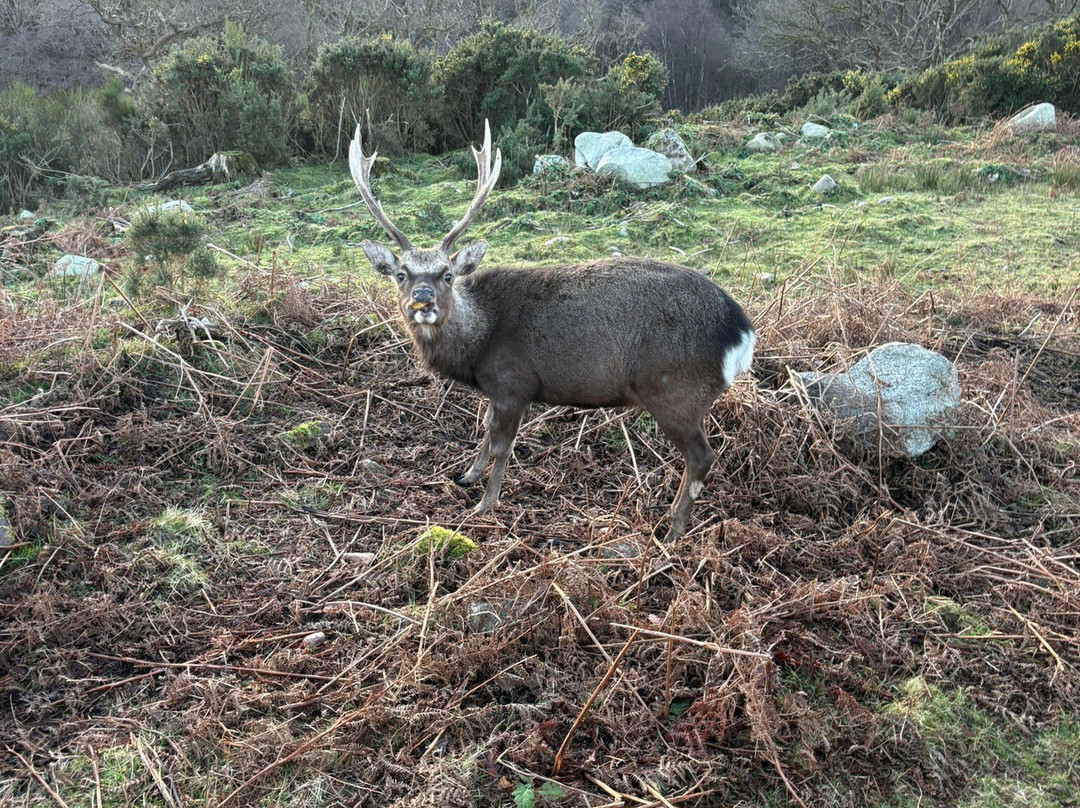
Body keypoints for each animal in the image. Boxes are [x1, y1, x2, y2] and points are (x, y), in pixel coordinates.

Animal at [350, 122, 755, 540]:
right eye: (401, 274)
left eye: (447, 274)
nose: (423, 298)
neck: (478, 346)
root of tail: (742, 333)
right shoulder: (498, 391)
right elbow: (486, 432)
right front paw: (466, 476)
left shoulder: (514, 384)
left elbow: (502, 446)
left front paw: (485, 504)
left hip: (675, 390)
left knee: (702, 457)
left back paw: (672, 530)